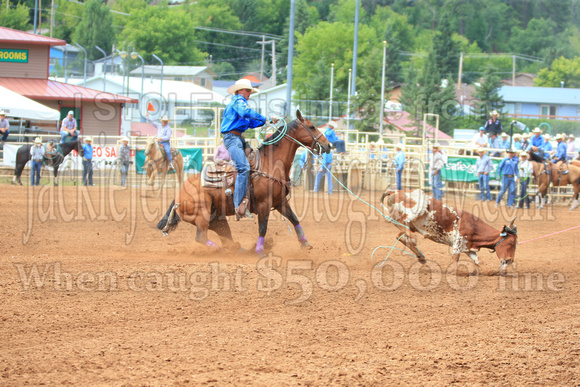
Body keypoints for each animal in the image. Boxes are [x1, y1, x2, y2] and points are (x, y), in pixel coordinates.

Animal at [157, 110, 330, 255]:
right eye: (312, 127)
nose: (328, 145)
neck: (269, 164)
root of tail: (179, 195)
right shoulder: (264, 204)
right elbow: (263, 227)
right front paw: (259, 251)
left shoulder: (280, 202)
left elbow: (294, 219)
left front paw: (305, 244)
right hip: (202, 215)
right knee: (201, 236)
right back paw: (223, 250)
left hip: (217, 219)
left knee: (225, 237)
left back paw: (237, 249)